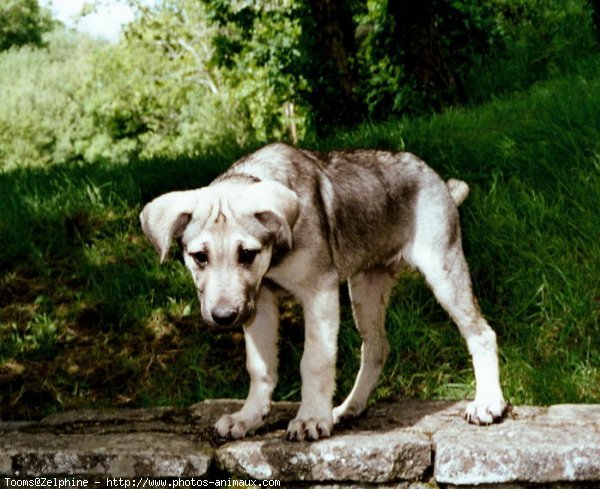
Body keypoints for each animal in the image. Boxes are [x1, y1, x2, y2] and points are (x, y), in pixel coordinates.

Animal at [141, 143, 506, 440]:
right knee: (377, 347)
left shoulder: (319, 292)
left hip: (443, 269)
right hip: (365, 287)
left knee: (480, 333)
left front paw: (310, 419)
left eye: (247, 254)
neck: (277, 251)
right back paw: (349, 407)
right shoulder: (261, 300)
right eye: (199, 257)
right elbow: (260, 366)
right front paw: (248, 417)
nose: (224, 317)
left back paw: (488, 403)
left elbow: (314, 360)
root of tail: (438, 180)